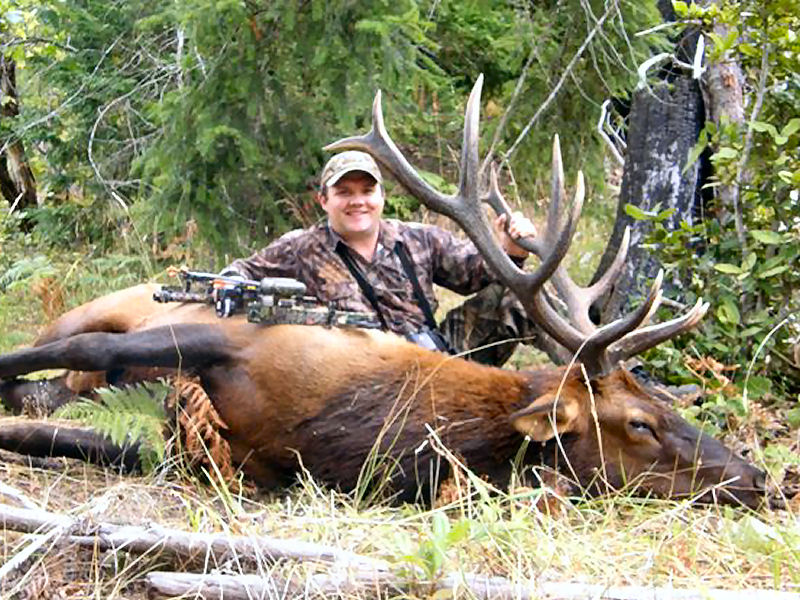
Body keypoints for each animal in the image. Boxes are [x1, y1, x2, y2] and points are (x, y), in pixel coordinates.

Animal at [0, 77, 768, 509]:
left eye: (667, 404)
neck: (349, 424)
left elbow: (71, 434)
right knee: (69, 347)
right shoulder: (230, 335)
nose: (758, 476)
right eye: (639, 423)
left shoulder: (221, 456)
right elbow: (84, 353)